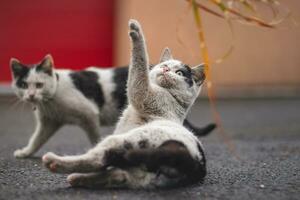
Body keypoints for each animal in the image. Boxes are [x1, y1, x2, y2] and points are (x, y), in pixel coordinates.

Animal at [9, 54, 216, 158]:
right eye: (24, 85)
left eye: (38, 85)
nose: (31, 95)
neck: (51, 100)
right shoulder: (48, 123)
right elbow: (36, 140)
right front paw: (25, 152)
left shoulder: (89, 115)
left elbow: (95, 138)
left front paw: (97, 149)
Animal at [41, 19, 206, 189]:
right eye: (164, 65)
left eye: (179, 72)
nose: (165, 69)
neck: (172, 98)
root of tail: (194, 164)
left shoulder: (143, 92)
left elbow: (140, 63)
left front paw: (136, 31)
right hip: (134, 172)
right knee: (115, 174)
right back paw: (77, 178)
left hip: (127, 140)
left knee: (98, 160)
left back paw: (54, 162)